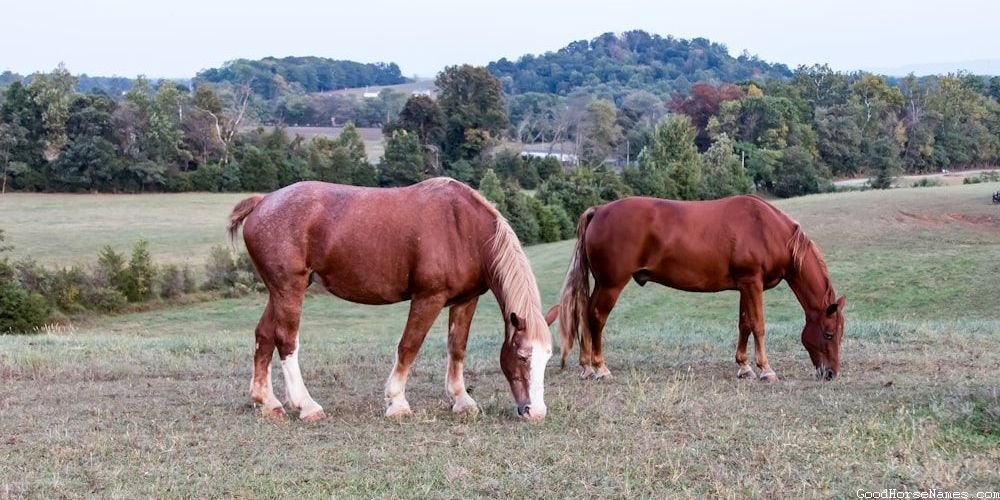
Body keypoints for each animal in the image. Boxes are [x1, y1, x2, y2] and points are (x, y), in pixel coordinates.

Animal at [227, 178, 560, 420]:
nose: (536, 412)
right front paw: (397, 402)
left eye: (547, 357)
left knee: (264, 335)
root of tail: (263, 202)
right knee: (286, 340)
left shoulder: (466, 300)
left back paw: (267, 402)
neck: (463, 229)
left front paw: (461, 400)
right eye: (522, 356)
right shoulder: (428, 298)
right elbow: (409, 346)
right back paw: (306, 406)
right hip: (289, 289)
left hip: (278, 292)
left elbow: (457, 348)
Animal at [560, 193, 848, 380]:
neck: (766, 229)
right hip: (611, 284)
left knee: (584, 314)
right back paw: (600, 367)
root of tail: (599, 210)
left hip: (603, 284)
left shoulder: (745, 286)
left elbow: (744, 324)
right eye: (828, 334)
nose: (830, 373)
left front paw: (744, 366)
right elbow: (758, 325)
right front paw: (766, 369)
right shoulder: (752, 283)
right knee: (596, 316)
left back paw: (586, 367)